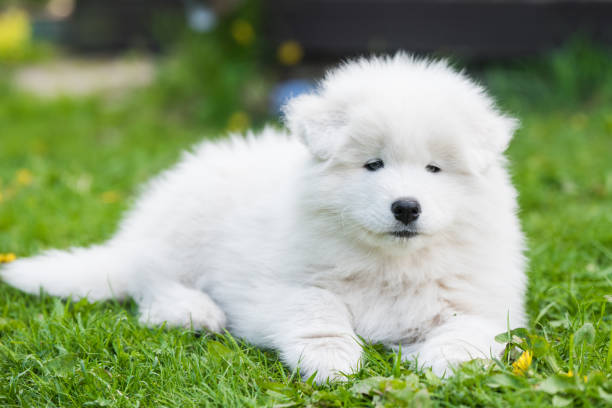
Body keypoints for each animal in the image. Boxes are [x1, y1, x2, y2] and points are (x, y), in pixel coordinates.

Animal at [0, 54, 524, 382]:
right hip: (184, 230)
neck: (391, 263)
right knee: (151, 283)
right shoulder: (279, 286)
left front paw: (443, 363)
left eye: (435, 169)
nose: (406, 207)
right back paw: (194, 311)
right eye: (372, 164)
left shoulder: (482, 298)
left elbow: (471, 328)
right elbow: (318, 309)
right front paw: (332, 360)